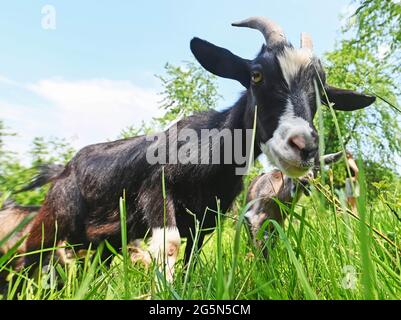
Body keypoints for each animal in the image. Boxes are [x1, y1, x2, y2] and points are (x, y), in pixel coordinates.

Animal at [7, 16, 376, 280]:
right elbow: (169, 246)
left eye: (322, 92)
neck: (210, 153)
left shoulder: (208, 220)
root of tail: (61, 170)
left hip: (102, 243)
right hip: (51, 223)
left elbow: (192, 258)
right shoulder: (156, 190)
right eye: (256, 75)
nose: (303, 145)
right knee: (27, 259)